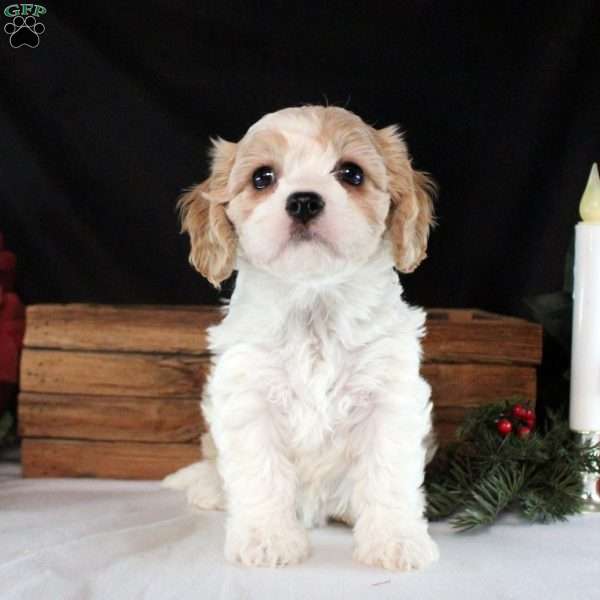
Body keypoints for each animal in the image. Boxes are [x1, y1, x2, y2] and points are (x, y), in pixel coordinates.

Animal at [164, 105, 440, 568]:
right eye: (262, 177)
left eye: (351, 173)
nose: (304, 200)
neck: (314, 302)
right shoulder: (249, 396)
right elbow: (260, 472)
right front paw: (267, 539)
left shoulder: (389, 396)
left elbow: (388, 474)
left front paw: (395, 540)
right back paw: (208, 487)